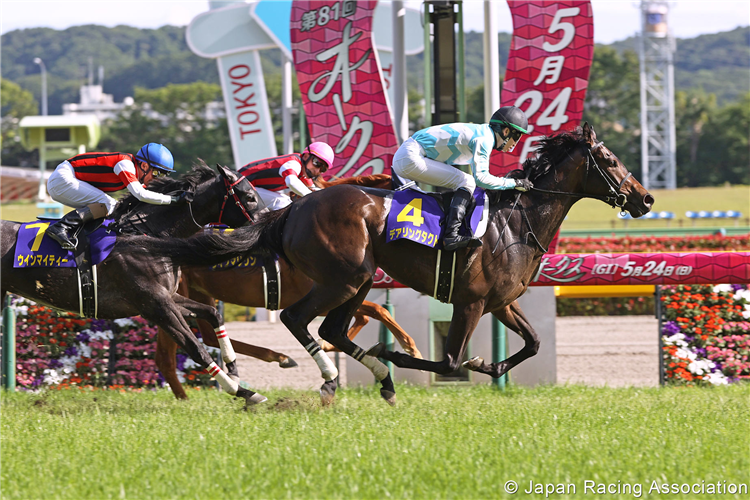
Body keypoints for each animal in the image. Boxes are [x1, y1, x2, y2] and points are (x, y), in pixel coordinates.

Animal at [0, 164, 270, 406]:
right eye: (249, 197)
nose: (269, 223)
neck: (144, 238)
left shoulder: (168, 298)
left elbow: (213, 313)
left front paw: (233, 368)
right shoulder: (155, 305)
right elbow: (196, 348)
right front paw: (244, 392)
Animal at [156, 174, 424, 400]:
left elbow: (370, 314)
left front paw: (329, 345)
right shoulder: (326, 291)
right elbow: (377, 310)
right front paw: (412, 349)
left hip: (198, 292)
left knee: (206, 336)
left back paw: (274, 360)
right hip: (170, 298)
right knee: (169, 356)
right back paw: (188, 397)